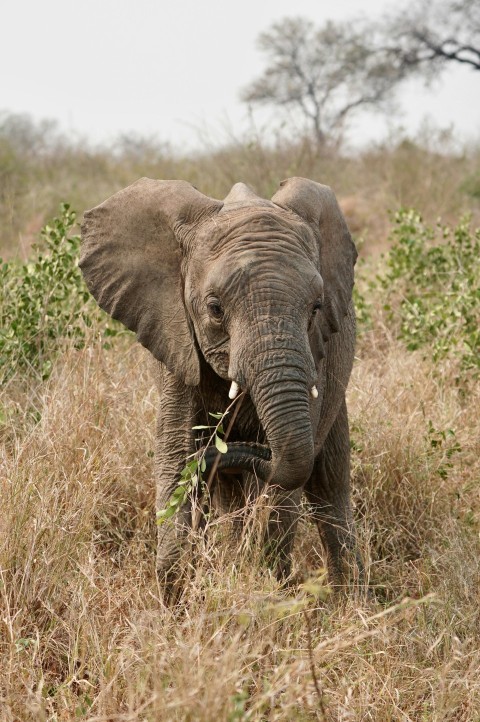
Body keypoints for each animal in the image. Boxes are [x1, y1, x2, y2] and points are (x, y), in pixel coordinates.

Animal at [80, 177, 362, 600]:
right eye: (215, 309)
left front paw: (264, 584)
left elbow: (285, 485)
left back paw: (352, 601)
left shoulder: (317, 360)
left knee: (329, 486)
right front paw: (178, 600)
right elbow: (176, 458)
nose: (219, 451)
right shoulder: (176, 340)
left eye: (316, 308)